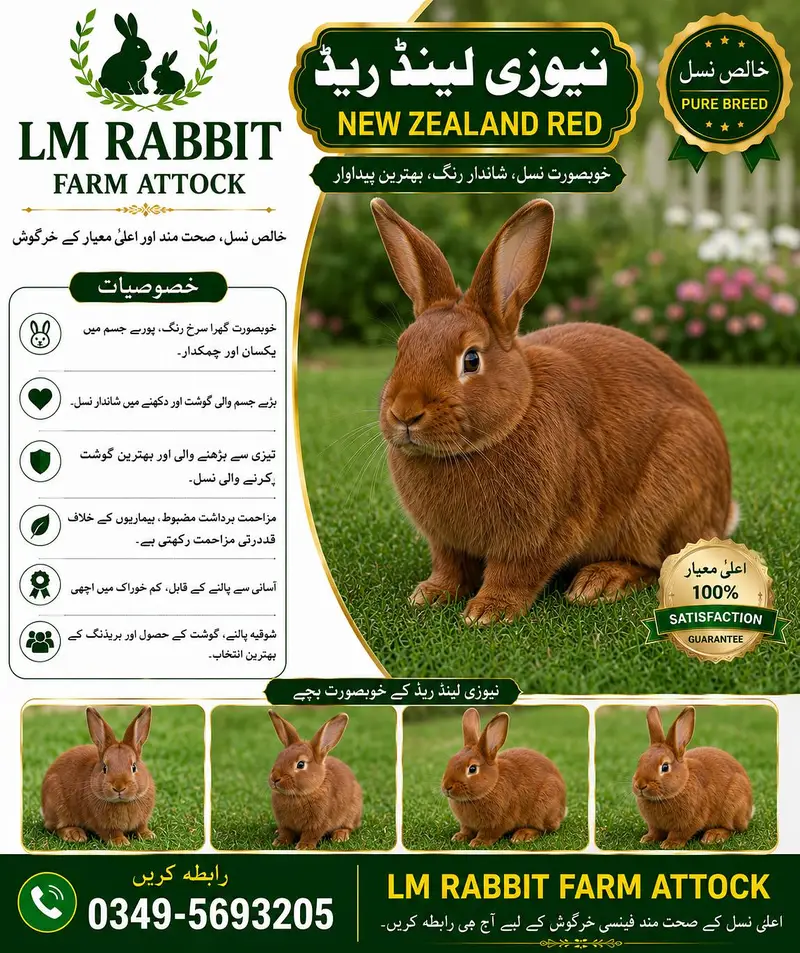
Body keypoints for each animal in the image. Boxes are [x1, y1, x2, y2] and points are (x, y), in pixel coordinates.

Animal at [41, 707, 156, 847]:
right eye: (104, 768)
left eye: (134, 767)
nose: (119, 787)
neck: (122, 802)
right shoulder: (103, 825)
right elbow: (112, 832)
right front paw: (120, 842)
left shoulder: (141, 821)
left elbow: (141, 827)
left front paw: (148, 835)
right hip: (57, 804)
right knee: (56, 827)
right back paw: (75, 835)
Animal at [268, 710, 362, 849]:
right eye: (279, 757)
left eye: (301, 764)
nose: (275, 778)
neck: (299, 795)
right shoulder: (285, 824)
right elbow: (286, 833)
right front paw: (279, 842)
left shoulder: (318, 823)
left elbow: (311, 835)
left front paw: (304, 846)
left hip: (351, 813)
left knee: (348, 827)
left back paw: (340, 836)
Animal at [371, 198, 737, 625]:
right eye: (402, 348)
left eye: (471, 359)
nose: (405, 413)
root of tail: (722, 511)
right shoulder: (446, 543)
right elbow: (450, 567)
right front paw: (429, 594)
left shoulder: (541, 534)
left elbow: (515, 572)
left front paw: (488, 612)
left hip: (662, 499)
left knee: (658, 562)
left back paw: (599, 582)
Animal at [442, 708, 567, 847]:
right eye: (451, 761)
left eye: (472, 769)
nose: (447, 787)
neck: (491, 786)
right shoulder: (467, 824)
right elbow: (466, 829)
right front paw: (459, 837)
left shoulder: (498, 822)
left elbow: (489, 833)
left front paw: (478, 842)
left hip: (544, 807)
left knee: (544, 828)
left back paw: (522, 835)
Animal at [632, 706, 753, 849]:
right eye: (640, 761)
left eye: (665, 767)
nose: (640, 785)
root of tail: (749, 809)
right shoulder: (654, 825)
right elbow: (655, 831)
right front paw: (647, 839)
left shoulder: (689, 821)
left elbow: (680, 833)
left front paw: (670, 844)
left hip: (733, 805)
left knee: (732, 828)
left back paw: (713, 836)